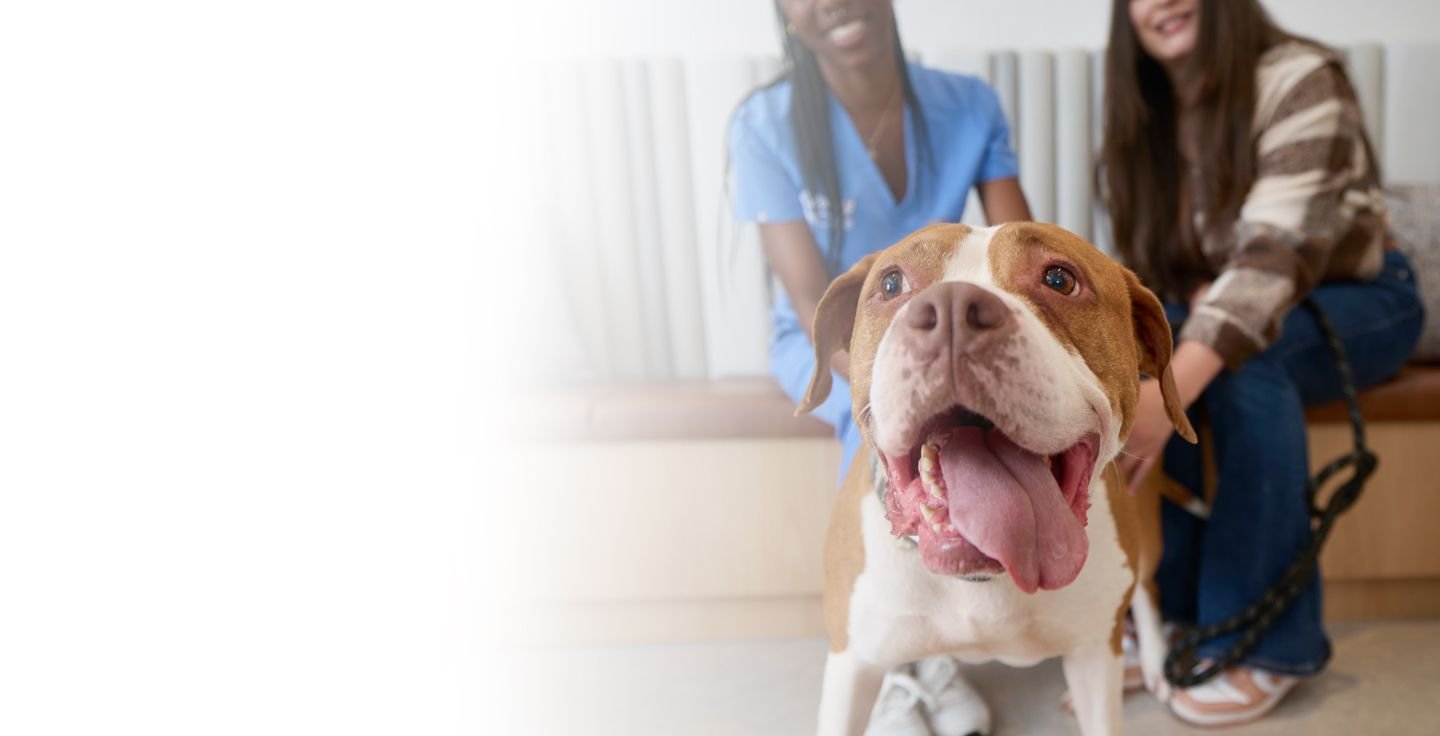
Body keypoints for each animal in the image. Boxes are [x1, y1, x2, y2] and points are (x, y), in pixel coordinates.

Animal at [806, 221, 1198, 734]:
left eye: (1059, 279)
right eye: (891, 284)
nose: (952, 309)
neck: (982, 578)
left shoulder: (1095, 657)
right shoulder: (853, 665)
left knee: (1148, 592)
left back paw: (1152, 664)